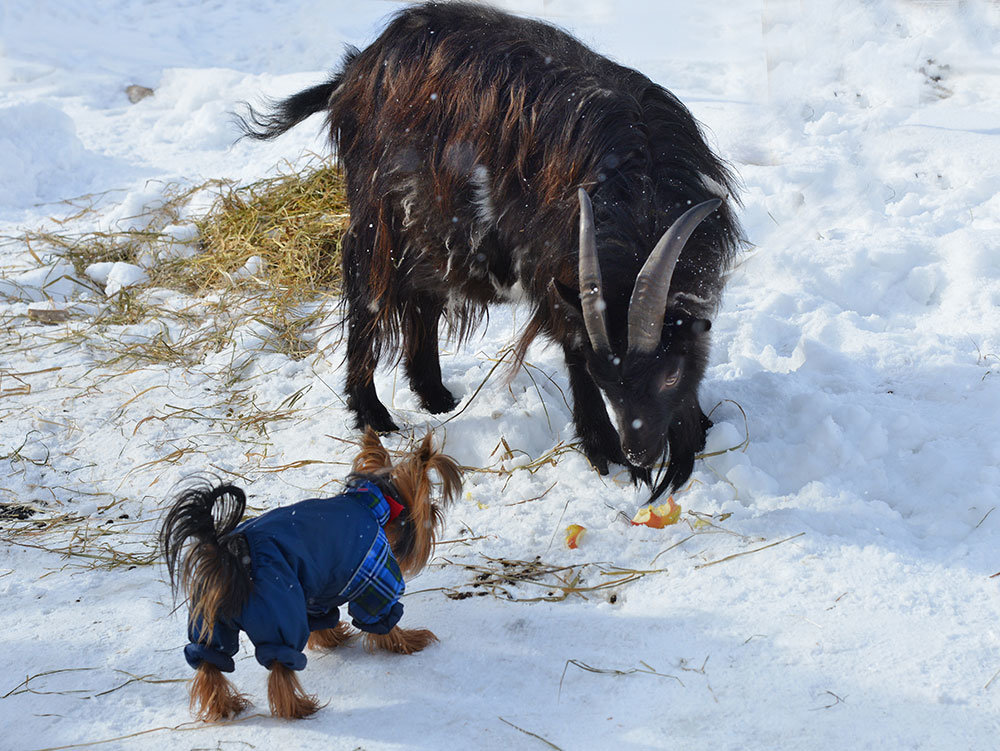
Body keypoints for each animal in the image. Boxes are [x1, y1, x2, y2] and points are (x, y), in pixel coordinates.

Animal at [160, 428, 460, 724]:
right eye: (429, 509)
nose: (434, 514)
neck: (373, 504)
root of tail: (230, 554)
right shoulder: (376, 574)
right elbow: (381, 617)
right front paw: (408, 641)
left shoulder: (318, 589)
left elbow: (323, 618)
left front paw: (334, 638)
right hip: (280, 611)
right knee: (280, 665)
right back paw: (297, 708)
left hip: (210, 619)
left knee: (209, 661)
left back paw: (225, 706)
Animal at [240, 2, 744, 506]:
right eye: (605, 378)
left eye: (669, 377)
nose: (641, 453)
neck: (638, 187)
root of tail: (355, 69)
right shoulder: (554, 266)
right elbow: (573, 348)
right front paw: (602, 450)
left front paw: (698, 427)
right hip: (378, 212)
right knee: (368, 292)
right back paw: (374, 414)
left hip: (432, 219)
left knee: (421, 296)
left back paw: (436, 395)